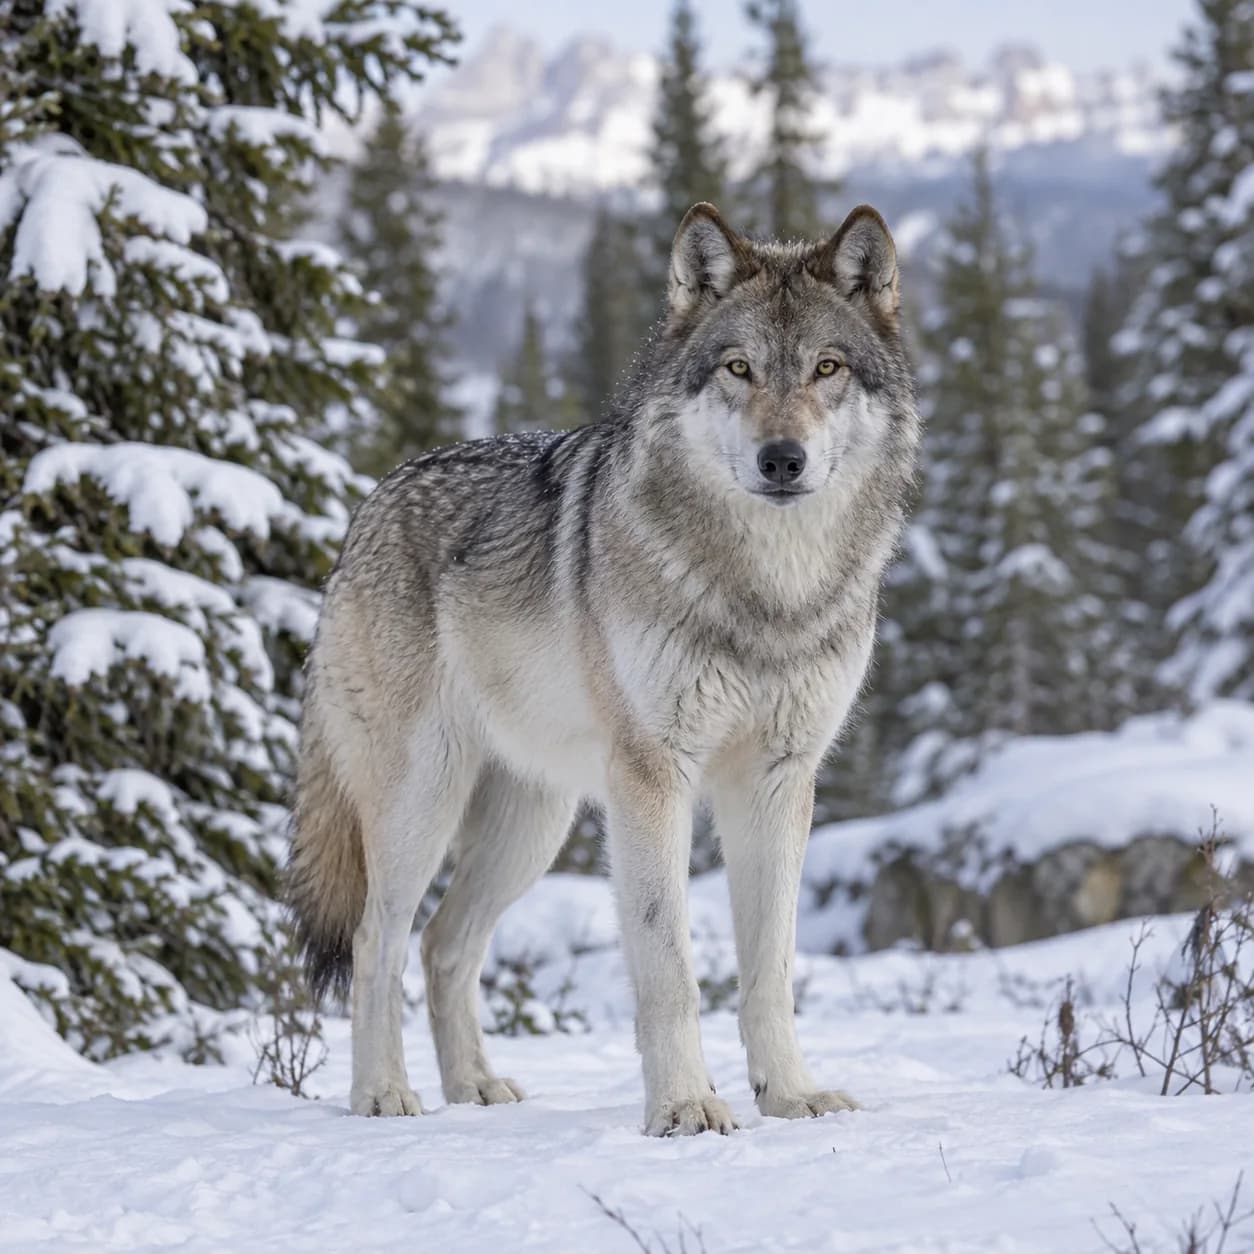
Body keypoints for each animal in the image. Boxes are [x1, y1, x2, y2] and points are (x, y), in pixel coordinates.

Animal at [288, 202, 920, 1135]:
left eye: (827, 368)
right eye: (738, 368)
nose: (782, 459)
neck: (767, 594)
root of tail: (367, 505)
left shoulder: (778, 782)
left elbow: (768, 971)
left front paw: (790, 1095)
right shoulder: (653, 779)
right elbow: (669, 967)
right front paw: (686, 1107)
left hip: (532, 825)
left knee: (445, 944)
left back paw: (474, 1088)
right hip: (423, 801)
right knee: (379, 939)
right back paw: (384, 1095)